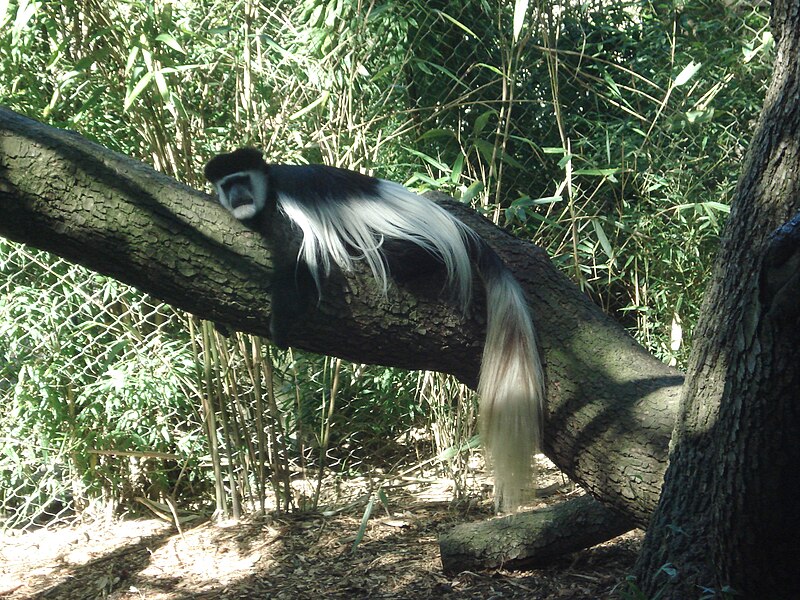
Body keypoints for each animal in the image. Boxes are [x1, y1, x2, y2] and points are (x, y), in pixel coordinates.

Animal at [203, 148, 548, 508]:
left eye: (242, 180)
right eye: (227, 185)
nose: (237, 196)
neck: (268, 188)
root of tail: (454, 226)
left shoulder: (285, 210)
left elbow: (298, 257)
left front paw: (279, 328)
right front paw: (222, 322)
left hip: (409, 240)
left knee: (403, 254)